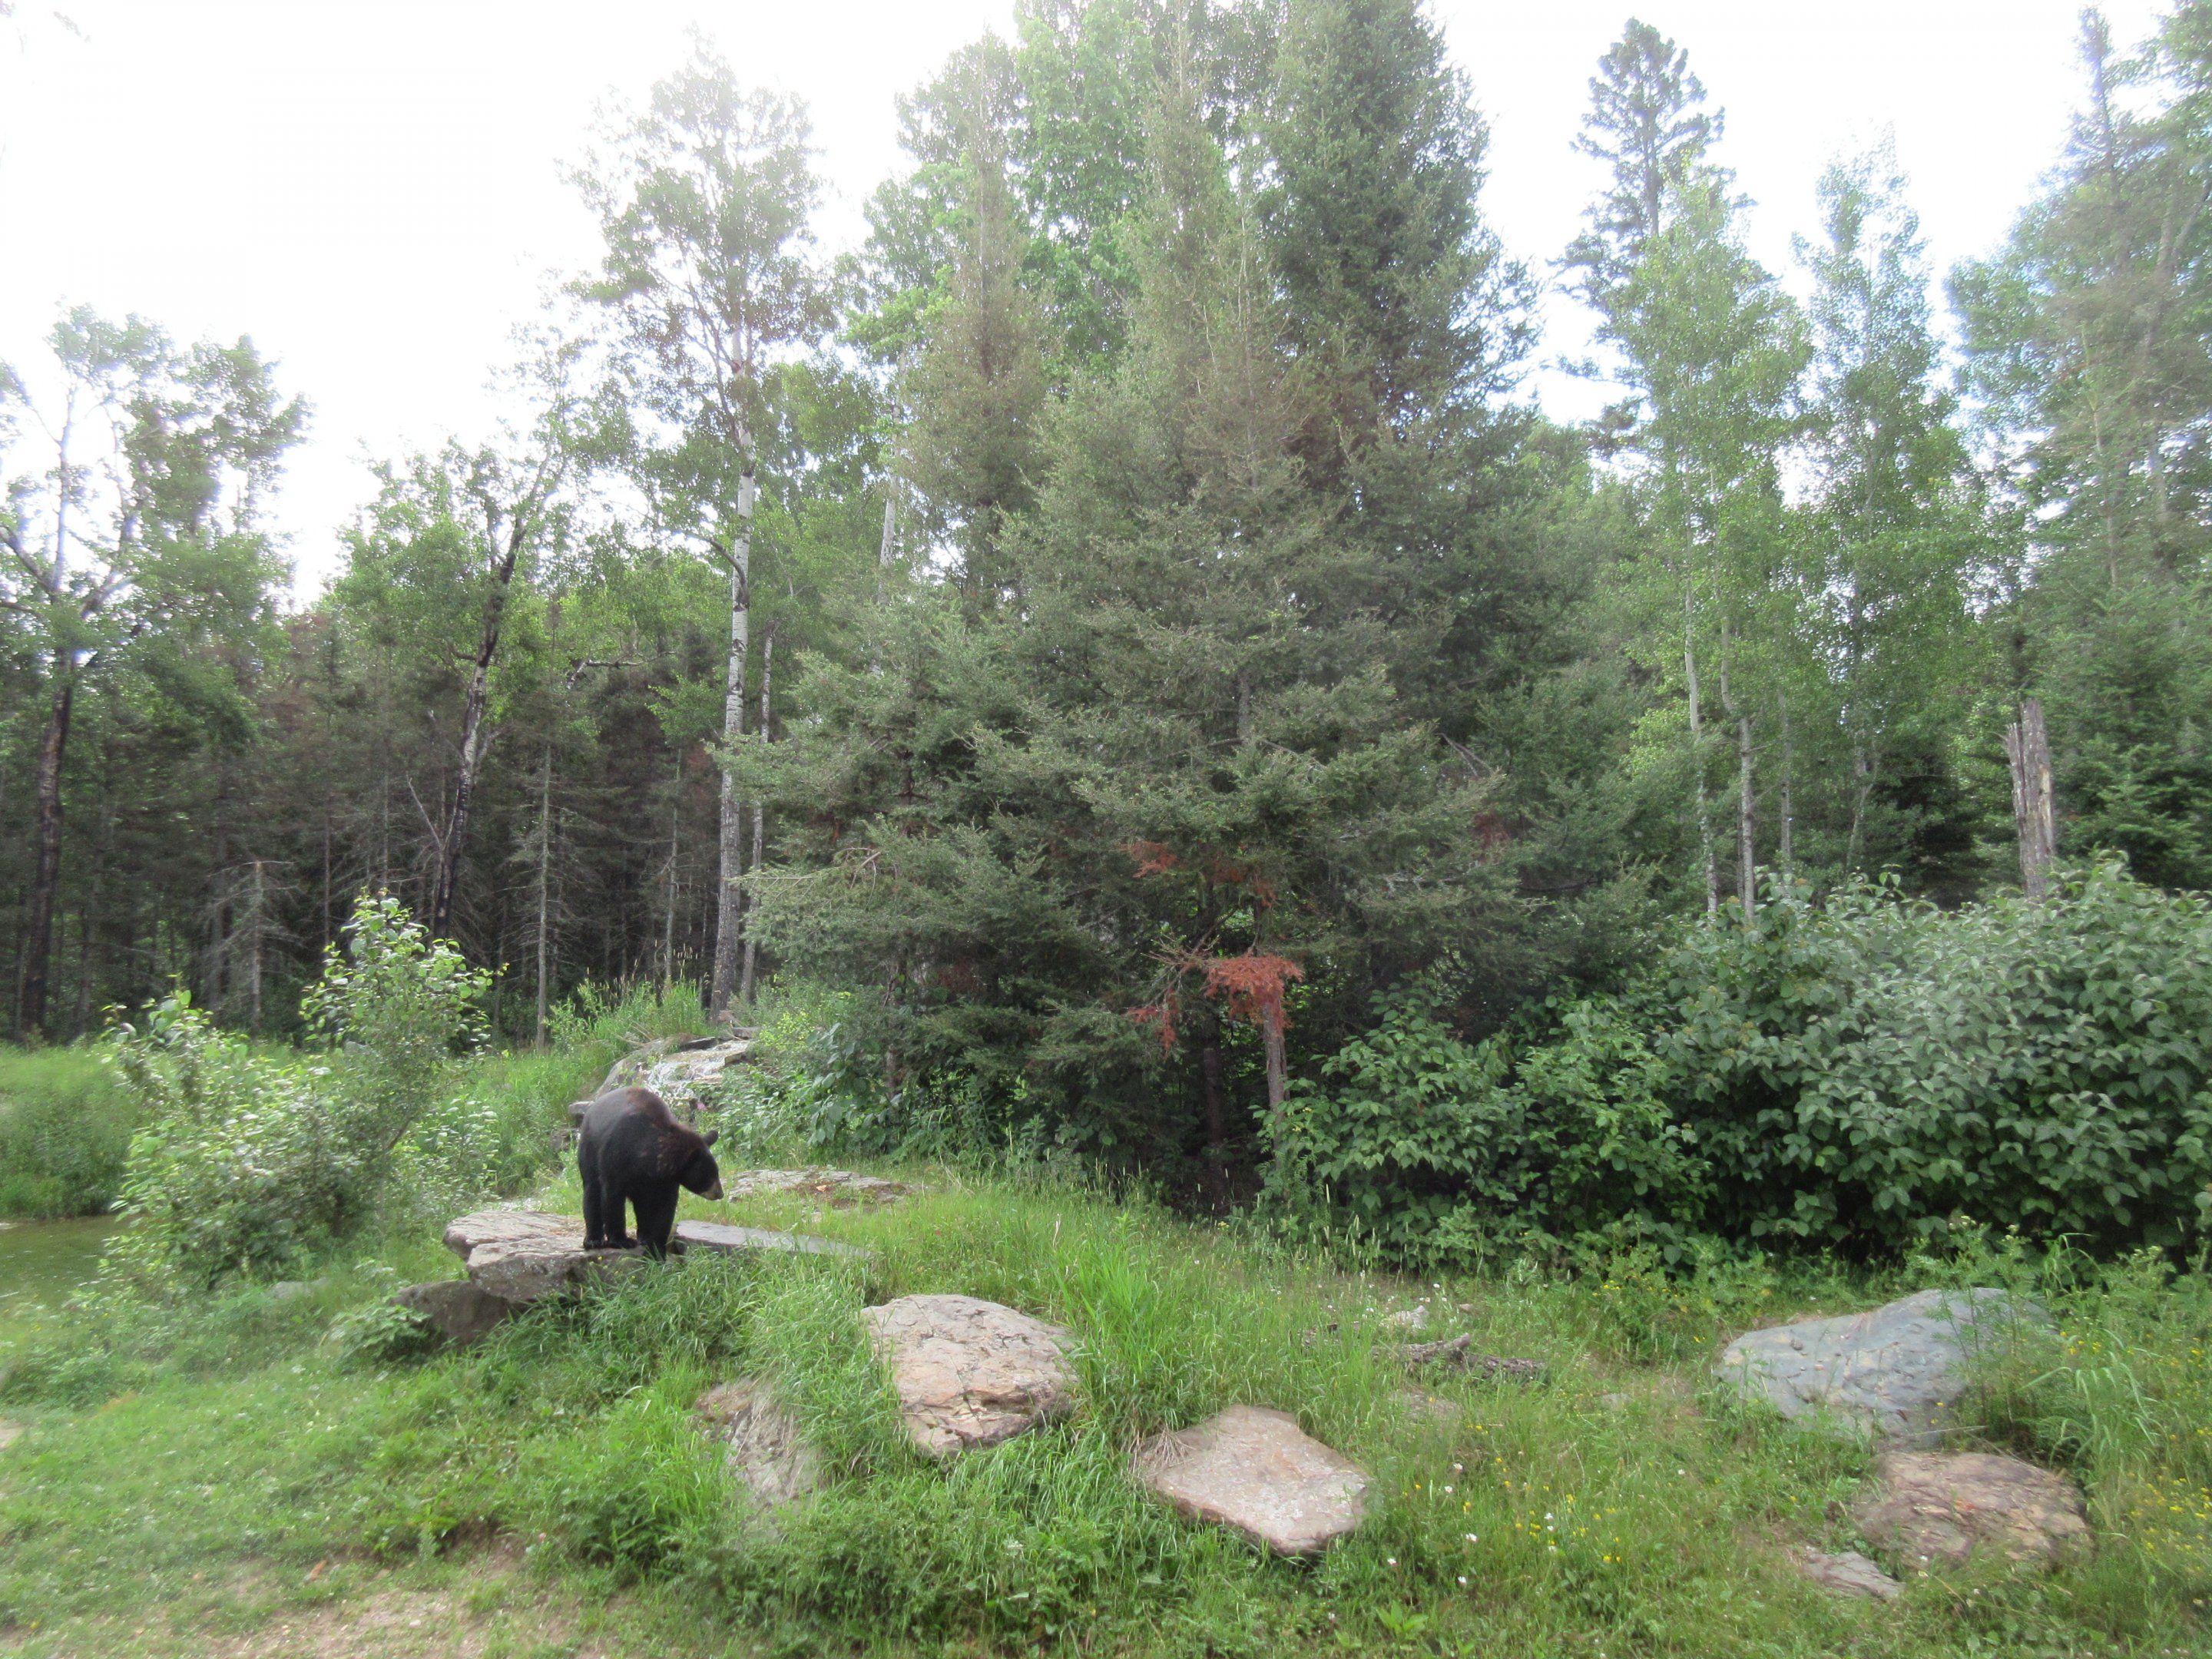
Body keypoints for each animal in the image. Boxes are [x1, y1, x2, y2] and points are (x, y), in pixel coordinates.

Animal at [576, 1086, 724, 1260]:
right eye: (709, 1175)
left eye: (716, 1172)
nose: (720, 1193)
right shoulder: (616, 1156)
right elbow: (613, 1198)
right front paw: (622, 1240)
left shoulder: (665, 1180)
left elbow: (665, 1209)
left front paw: (657, 1249)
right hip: (590, 1149)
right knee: (592, 1191)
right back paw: (593, 1240)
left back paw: (644, 1235)